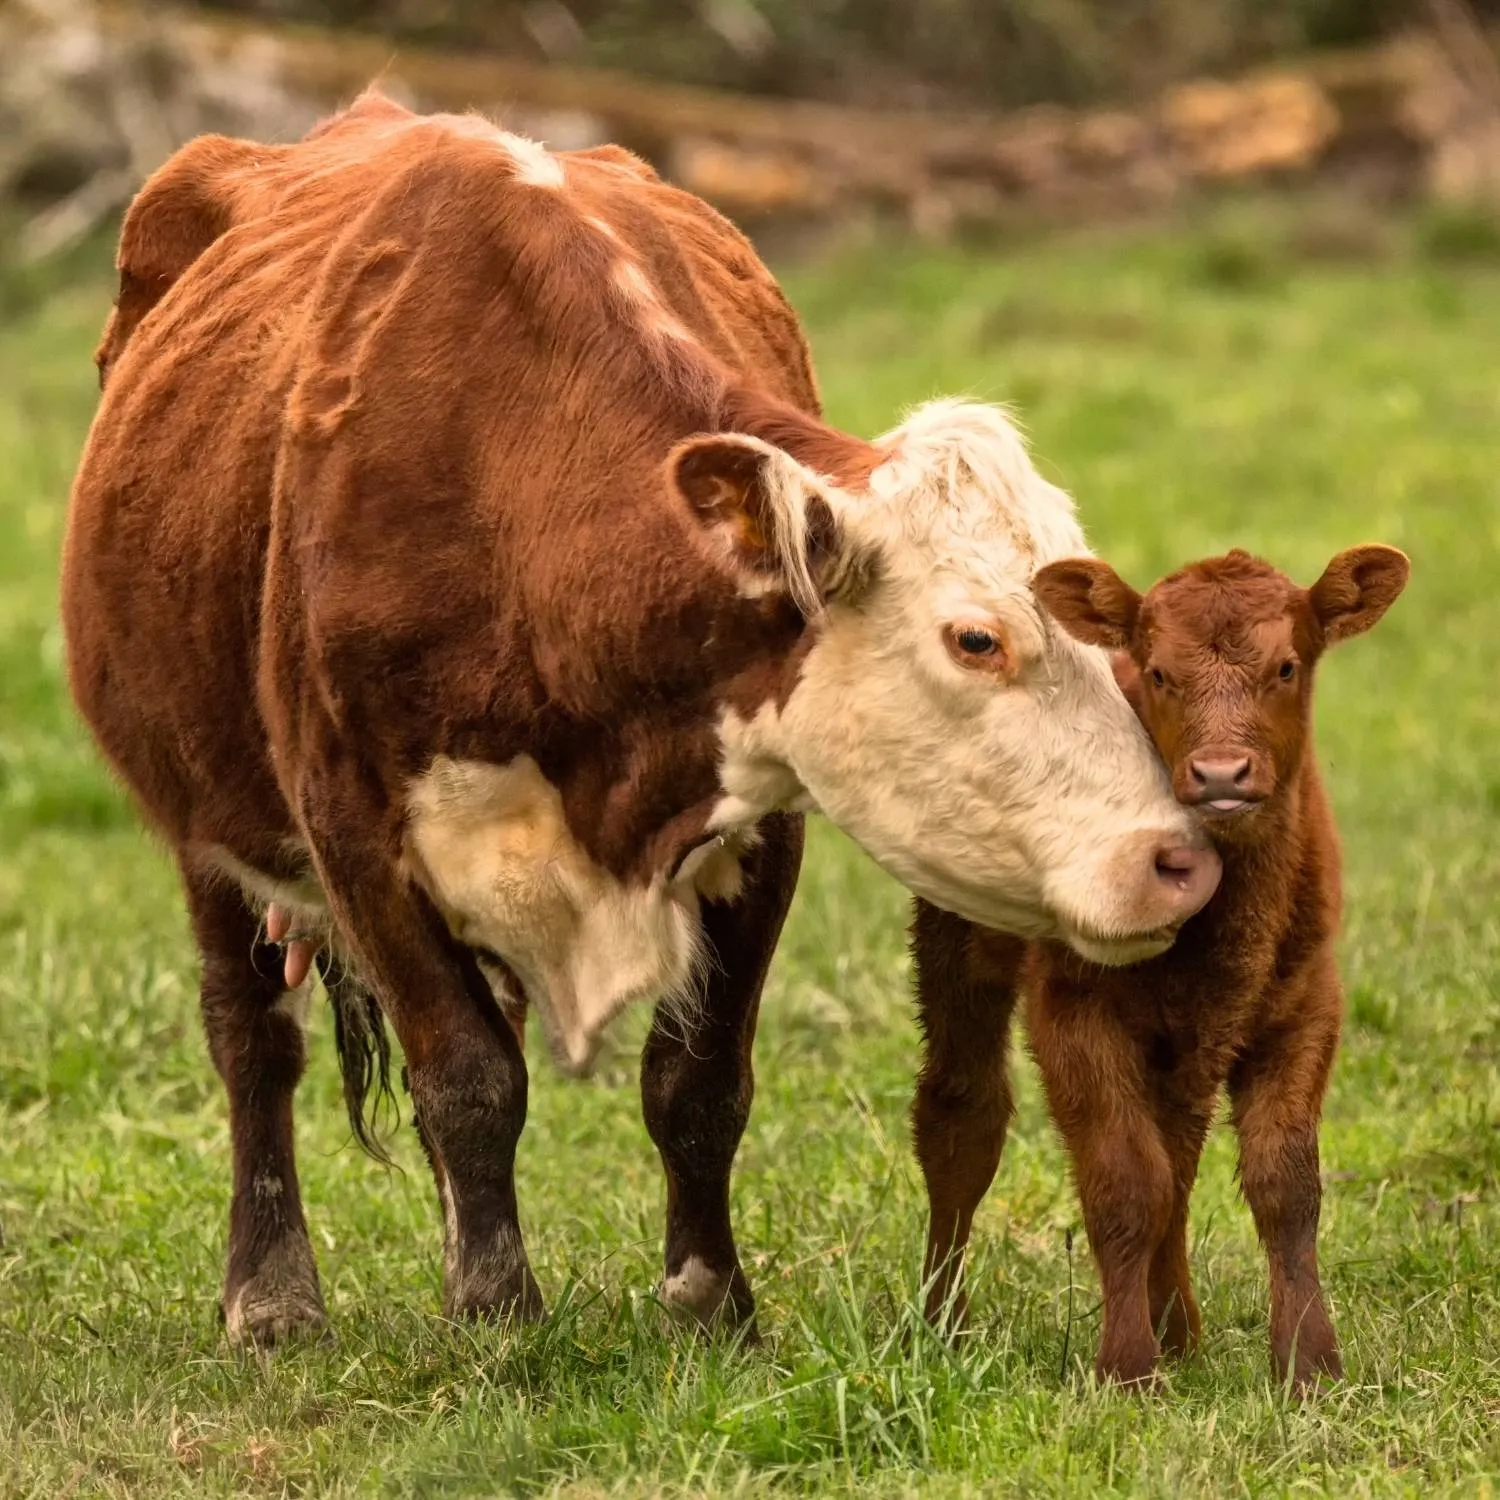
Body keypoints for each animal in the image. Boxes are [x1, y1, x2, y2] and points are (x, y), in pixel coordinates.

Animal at [61, 92, 1219, 1346]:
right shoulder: (354, 831)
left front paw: (709, 1299)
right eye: (976, 638)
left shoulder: (759, 818)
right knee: (253, 1039)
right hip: (206, 825)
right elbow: (467, 1076)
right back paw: (272, 1294)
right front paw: (498, 1314)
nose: (1177, 861)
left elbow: (695, 1079)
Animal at [910, 544, 1408, 1390]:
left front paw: (1308, 1362)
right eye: (1159, 673)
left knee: (1177, 1149)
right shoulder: (1073, 1009)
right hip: (957, 940)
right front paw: (1126, 1367)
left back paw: (1180, 1328)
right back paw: (943, 1324)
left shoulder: (1306, 1004)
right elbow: (1124, 1182)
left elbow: (1283, 1184)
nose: (1221, 773)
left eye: (1286, 666)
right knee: (962, 1117)